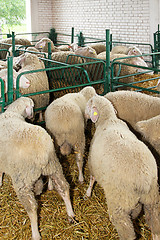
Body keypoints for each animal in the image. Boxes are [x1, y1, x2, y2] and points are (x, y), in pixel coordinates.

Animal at [0, 97, 75, 240]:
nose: (32, 116)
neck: (13, 113)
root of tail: (42, 154)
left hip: (22, 180)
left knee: (32, 207)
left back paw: (35, 233)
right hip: (54, 166)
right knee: (64, 187)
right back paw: (71, 214)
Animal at [84, 94, 159, 240]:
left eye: (89, 103)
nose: (84, 114)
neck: (109, 120)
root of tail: (143, 181)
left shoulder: (92, 162)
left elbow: (92, 178)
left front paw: (87, 193)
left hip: (119, 203)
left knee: (126, 230)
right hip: (152, 200)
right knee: (155, 224)